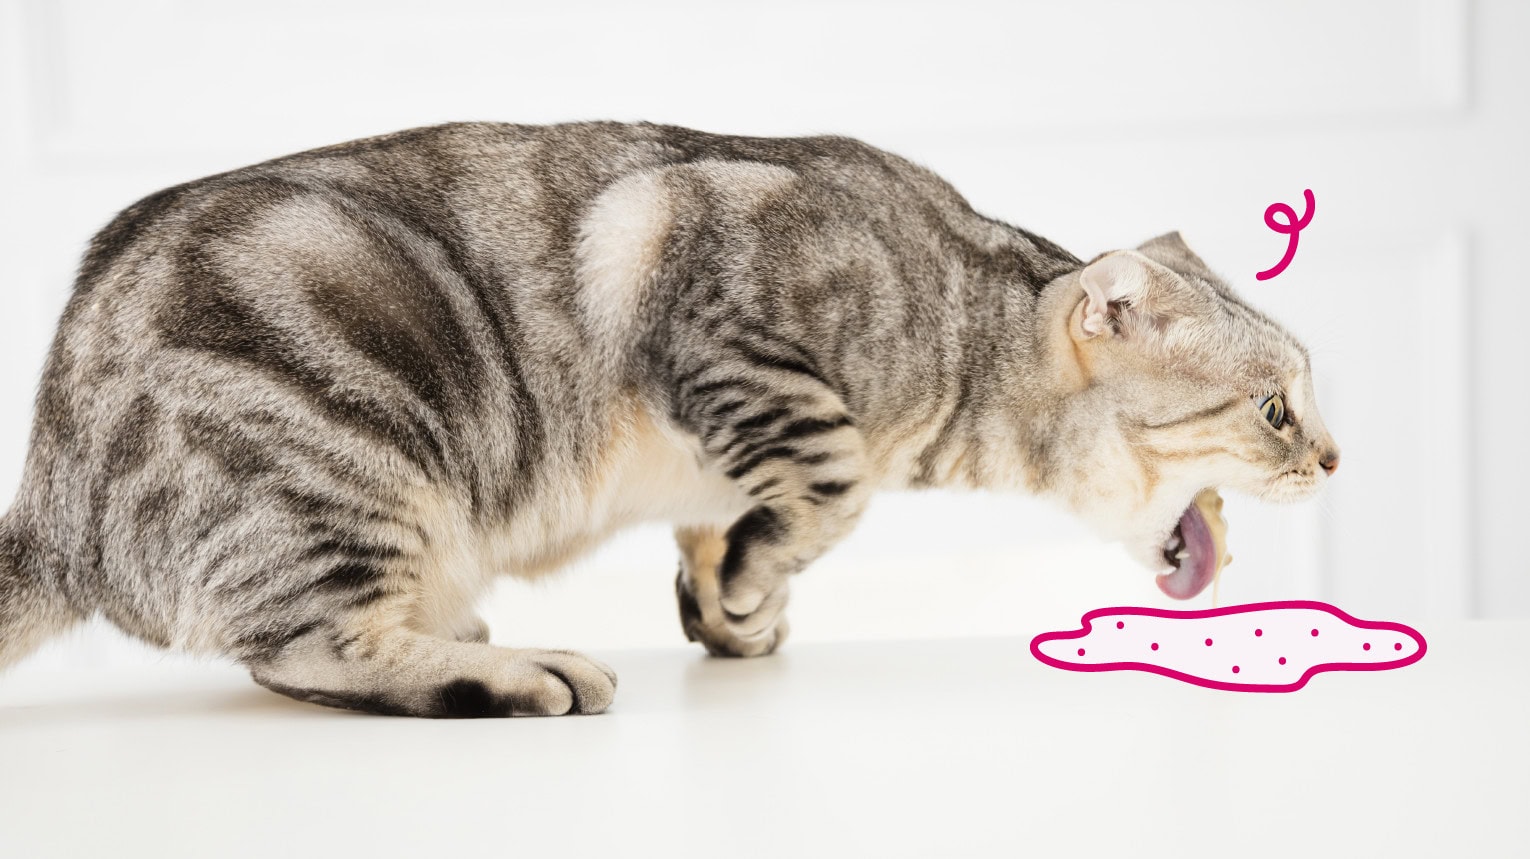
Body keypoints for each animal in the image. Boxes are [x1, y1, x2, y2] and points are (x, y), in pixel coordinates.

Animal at [0, 120, 1340, 716]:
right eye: (1277, 407)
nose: (1335, 455)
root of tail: (59, 507)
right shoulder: (726, 320)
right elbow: (830, 480)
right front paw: (750, 578)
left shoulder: (725, 444)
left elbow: (736, 524)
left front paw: (734, 603)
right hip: (339, 452)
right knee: (307, 650)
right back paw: (514, 670)